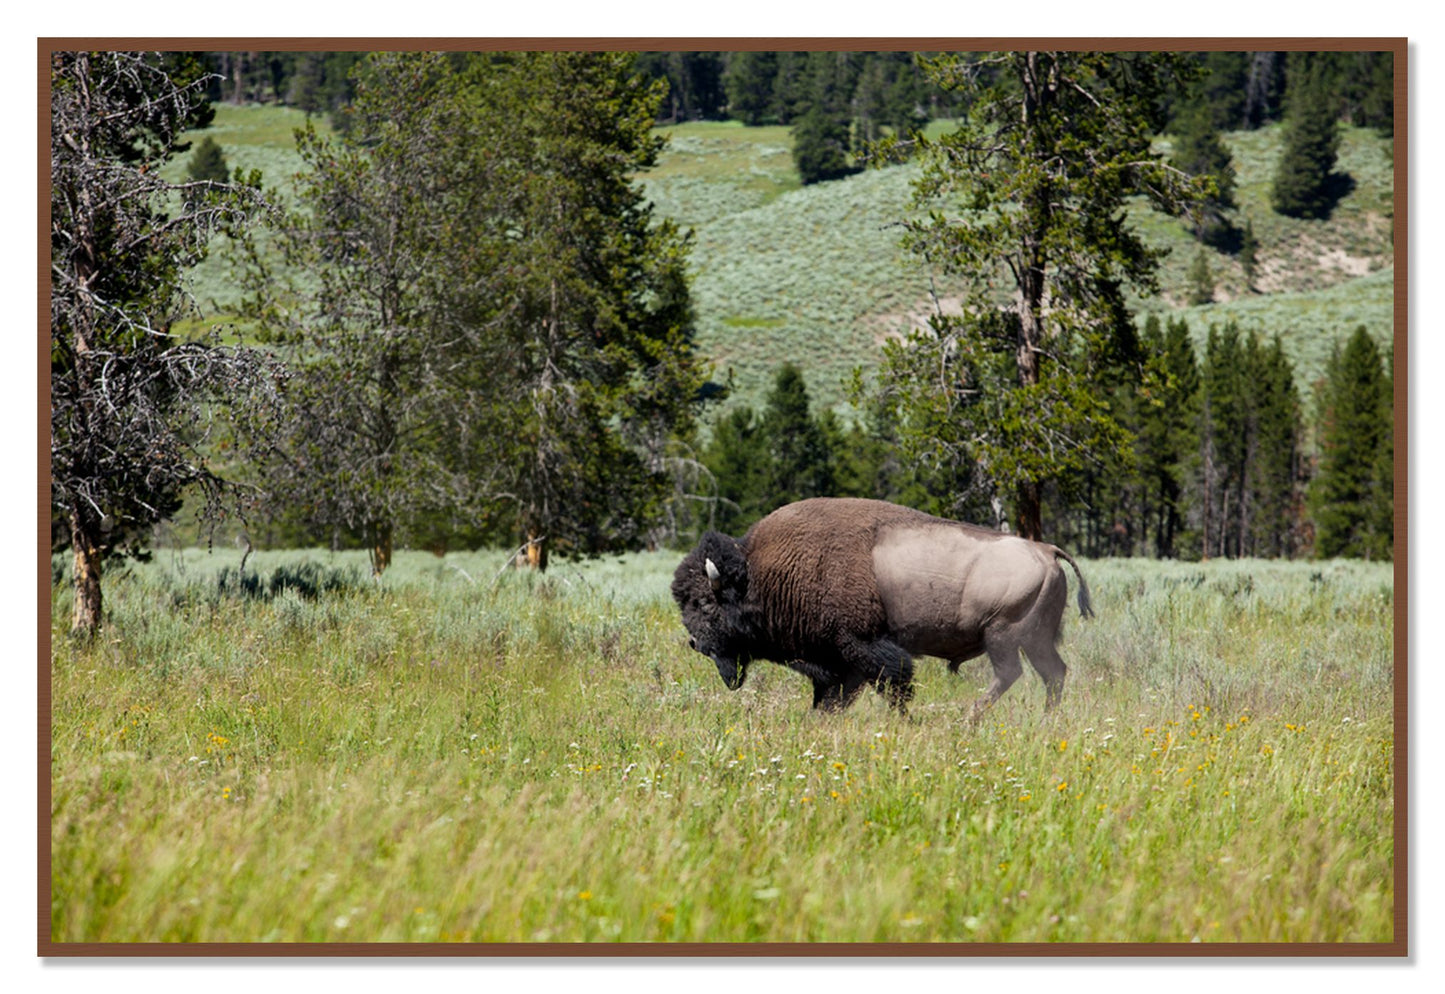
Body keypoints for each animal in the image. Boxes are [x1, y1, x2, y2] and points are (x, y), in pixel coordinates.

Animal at [671, 497, 1093, 718]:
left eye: (705, 604)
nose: (696, 643)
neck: (761, 573)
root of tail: (1046, 550)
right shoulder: (837, 663)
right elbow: (832, 697)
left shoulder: (862, 647)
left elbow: (893, 684)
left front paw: (904, 720)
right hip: (1035, 639)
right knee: (1053, 673)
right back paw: (1045, 719)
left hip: (1002, 635)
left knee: (1011, 674)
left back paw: (969, 718)